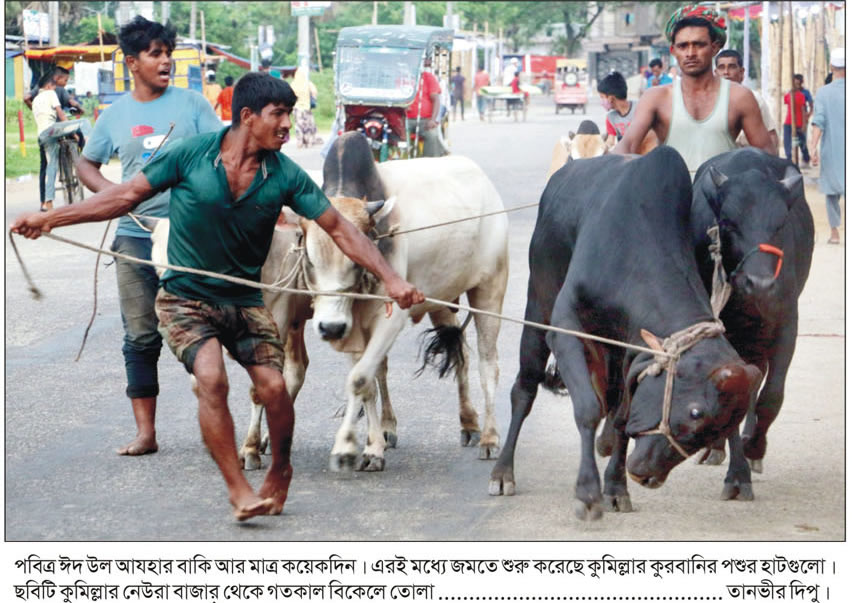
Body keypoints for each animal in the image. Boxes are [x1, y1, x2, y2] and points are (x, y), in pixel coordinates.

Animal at [304, 143, 510, 472]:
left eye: (354, 260)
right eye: (309, 259)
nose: (330, 327)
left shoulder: (391, 317)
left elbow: (359, 379)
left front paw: (348, 448)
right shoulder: (354, 327)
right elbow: (367, 382)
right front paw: (374, 445)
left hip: (490, 288)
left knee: (488, 364)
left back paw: (490, 437)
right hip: (441, 300)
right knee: (460, 355)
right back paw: (467, 423)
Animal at [490, 145, 764, 520]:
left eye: (719, 428)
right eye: (695, 412)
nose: (648, 476)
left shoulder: (631, 351)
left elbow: (620, 417)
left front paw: (615, 488)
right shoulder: (564, 326)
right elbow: (588, 408)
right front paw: (588, 492)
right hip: (538, 305)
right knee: (524, 389)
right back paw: (503, 471)